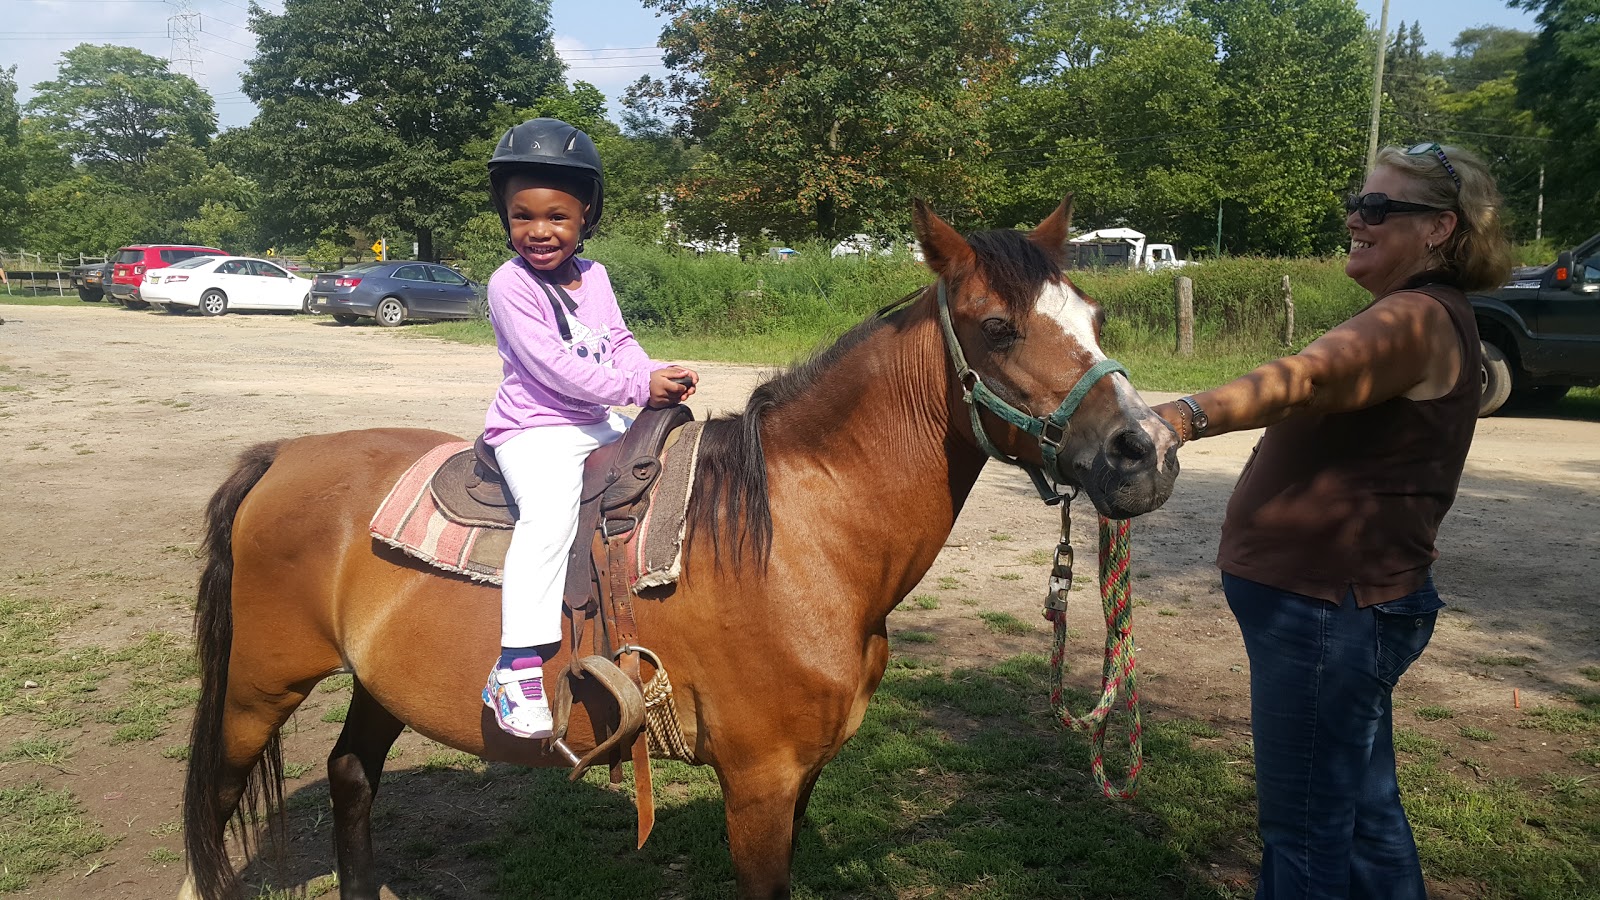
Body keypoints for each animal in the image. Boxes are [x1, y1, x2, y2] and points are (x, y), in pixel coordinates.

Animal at [181, 197, 1184, 896]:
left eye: (1095, 316)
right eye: (998, 326)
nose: (1144, 453)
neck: (799, 539)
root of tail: (283, 455)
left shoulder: (803, 777)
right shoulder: (760, 783)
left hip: (374, 683)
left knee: (351, 776)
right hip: (259, 686)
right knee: (217, 805)